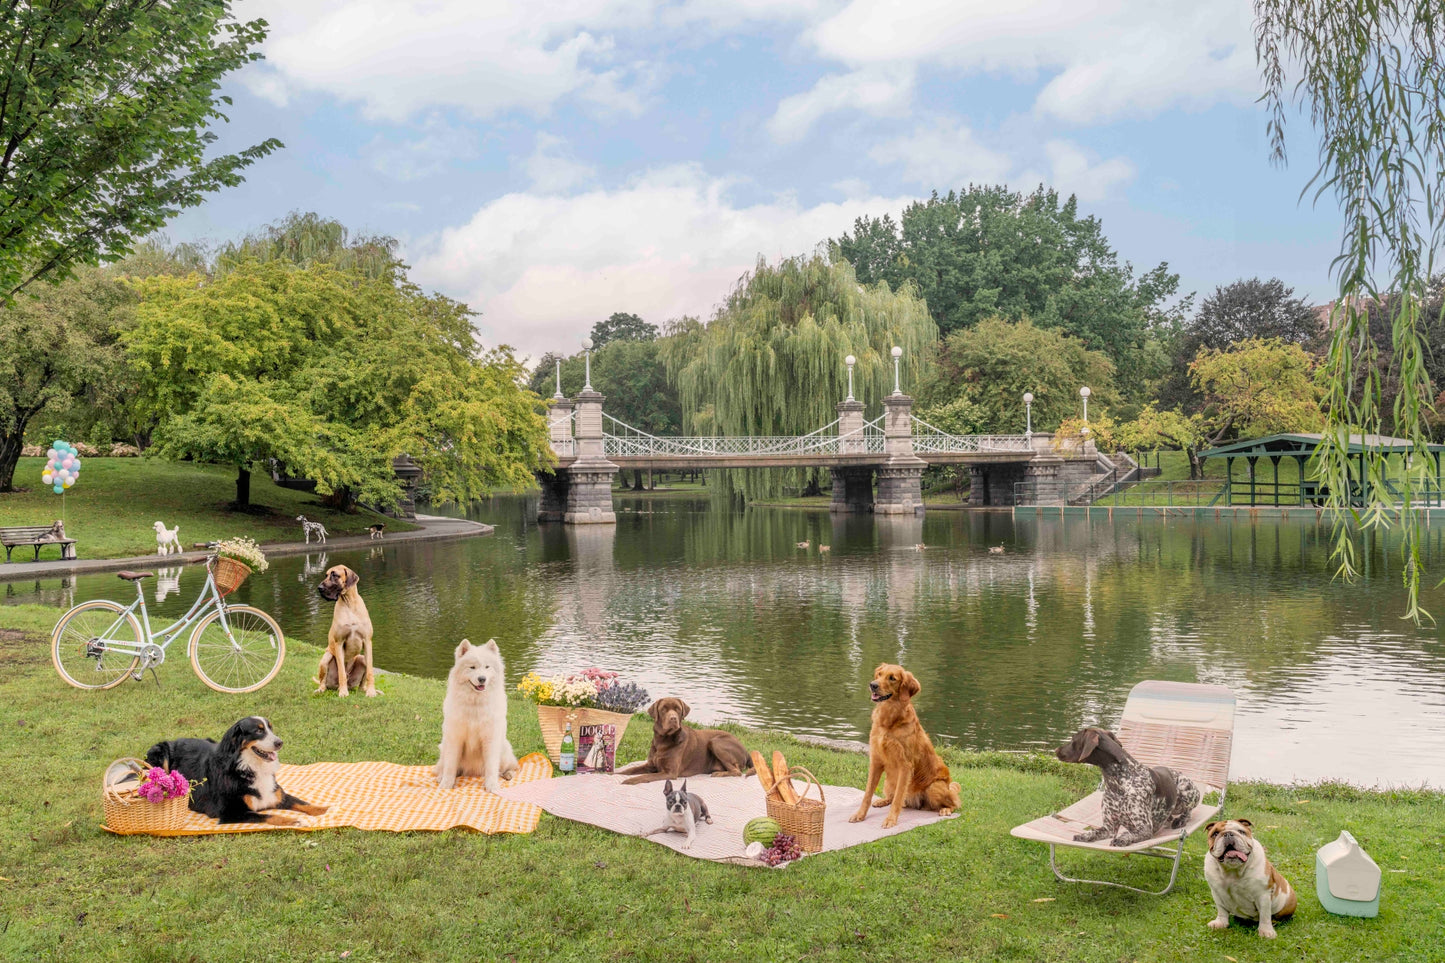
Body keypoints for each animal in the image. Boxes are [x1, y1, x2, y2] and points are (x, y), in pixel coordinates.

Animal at [145, 717, 329, 821]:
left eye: (270, 728)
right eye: (258, 731)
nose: (280, 742)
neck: (249, 767)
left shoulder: (276, 795)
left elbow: (302, 802)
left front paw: (323, 809)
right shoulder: (231, 812)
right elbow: (270, 816)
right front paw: (294, 821)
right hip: (160, 752)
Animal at [313, 566, 375, 694]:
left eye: (334, 575)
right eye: (326, 575)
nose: (319, 588)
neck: (349, 603)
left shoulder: (367, 641)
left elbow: (370, 672)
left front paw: (371, 691)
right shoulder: (339, 643)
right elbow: (341, 671)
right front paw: (343, 692)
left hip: (362, 659)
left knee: (361, 685)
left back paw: (364, 690)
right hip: (326, 657)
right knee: (323, 681)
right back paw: (322, 689)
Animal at [436, 636, 523, 786]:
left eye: (487, 667)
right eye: (472, 667)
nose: (482, 678)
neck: (475, 702)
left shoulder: (490, 738)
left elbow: (491, 767)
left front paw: (492, 786)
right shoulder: (455, 737)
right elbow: (450, 765)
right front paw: (446, 785)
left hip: (504, 750)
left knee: (512, 767)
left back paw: (507, 775)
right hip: (444, 747)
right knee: (443, 766)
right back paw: (441, 777)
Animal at [618, 694, 751, 786]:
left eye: (677, 709)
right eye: (664, 709)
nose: (673, 718)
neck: (663, 740)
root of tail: (746, 751)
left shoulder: (670, 772)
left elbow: (644, 776)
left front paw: (630, 780)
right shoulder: (650, 765)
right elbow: (629, 769)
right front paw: (615, 773)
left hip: (715, 742)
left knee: (737, 771)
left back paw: (719, 774)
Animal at [843, 659, 959, 827]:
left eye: (892, 678)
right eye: (879, 674)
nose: (873, 685)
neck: (889, 721)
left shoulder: (905, 766)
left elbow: (898, 798)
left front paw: (890, 820)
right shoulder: (876, 761)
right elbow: (868, 794)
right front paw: (860, 815)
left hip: (934, 786)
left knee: (954, 803)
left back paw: (945, 810)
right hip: (888, 781)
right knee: (893, 797)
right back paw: (882, 801)